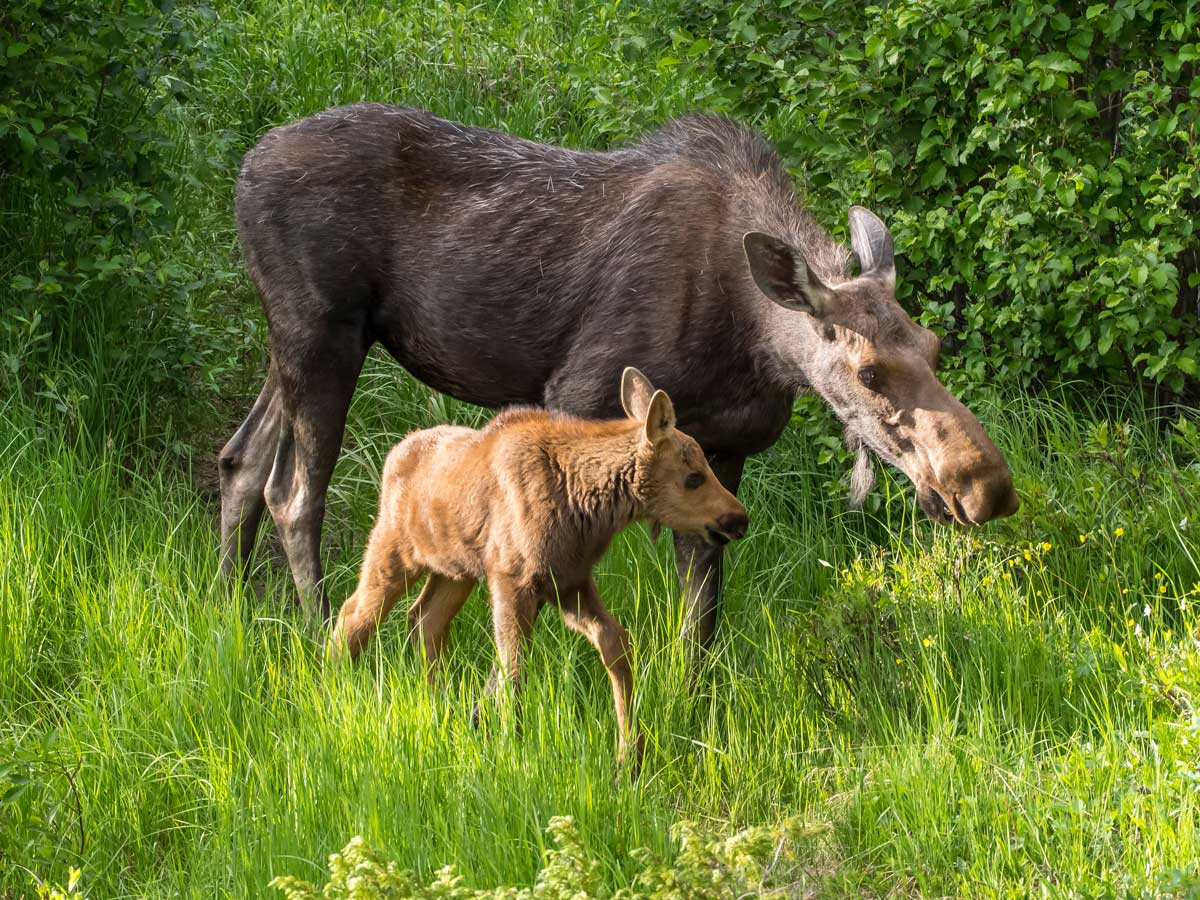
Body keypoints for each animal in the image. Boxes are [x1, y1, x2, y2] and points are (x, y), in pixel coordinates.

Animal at [220, 107, 1017, 643]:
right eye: (868, 372)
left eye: (934, 346)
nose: (989, 488)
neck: (754, 344)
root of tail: (243, 172)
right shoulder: (576, 396)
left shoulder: (722, 451)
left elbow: (702, 617)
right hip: (321, 333)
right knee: (294, 492)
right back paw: (325, 632)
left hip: (302, 342)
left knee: (240, 460)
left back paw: (228, 606)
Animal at [333, 369, 744, 763]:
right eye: (694, 477)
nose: (739, 518)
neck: (590, 508)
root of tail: (394, 455)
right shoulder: (512, 578)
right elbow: (513, 669)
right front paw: (510, 747)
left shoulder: (569, 580)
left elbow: (615, 642)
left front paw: (629, 754)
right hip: (394, 550)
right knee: (354, 615)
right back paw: (332, 694)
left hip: (455, 569)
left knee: (424, 619)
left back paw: (442, 711)